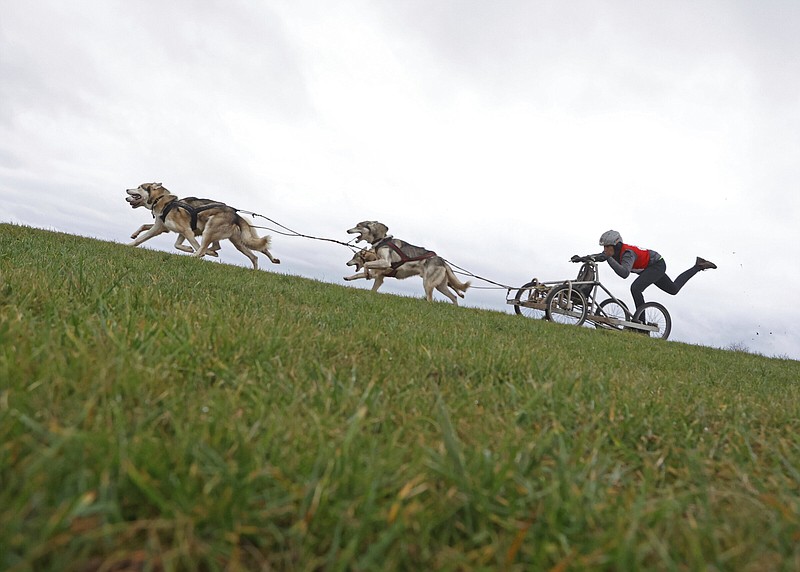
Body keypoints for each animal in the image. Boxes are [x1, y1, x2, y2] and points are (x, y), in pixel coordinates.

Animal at [122, 184, 278, 272]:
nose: (126, 191)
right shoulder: (168, 229)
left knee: (205, 248)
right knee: (256, 253)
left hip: (210, 228)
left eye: (139, 187)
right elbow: (147, 233)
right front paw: (132, 239)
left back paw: (197, 255)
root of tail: (236, 215)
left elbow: (195, 246)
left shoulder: (185, 231)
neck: (162, 201)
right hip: (239, 242)